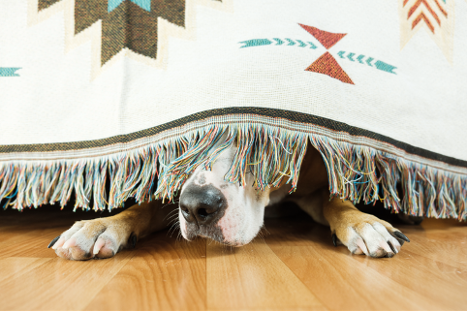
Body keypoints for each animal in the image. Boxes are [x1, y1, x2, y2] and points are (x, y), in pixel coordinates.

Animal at [49, 143, 412, 260]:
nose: (197, 208)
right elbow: (144, 207)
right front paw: (101, 226)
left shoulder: (314, 186)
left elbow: (337, 201)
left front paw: (364, 224)